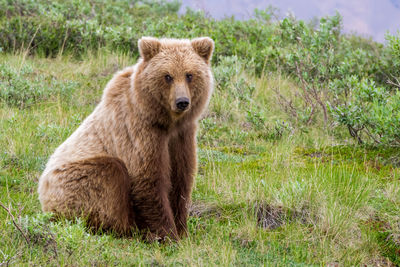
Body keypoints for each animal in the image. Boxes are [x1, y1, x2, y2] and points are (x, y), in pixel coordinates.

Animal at [38, 36, 214, 241]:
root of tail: (42, 193)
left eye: (189, 75)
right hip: (70, 183)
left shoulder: (182, 136)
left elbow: (181, 179)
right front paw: (167, 235)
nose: (182, 102)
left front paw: (182, 230)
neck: (166, 122)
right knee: (110, 173)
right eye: (167, 76)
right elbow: (148, 179)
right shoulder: (140, 131)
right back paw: (126, 229)